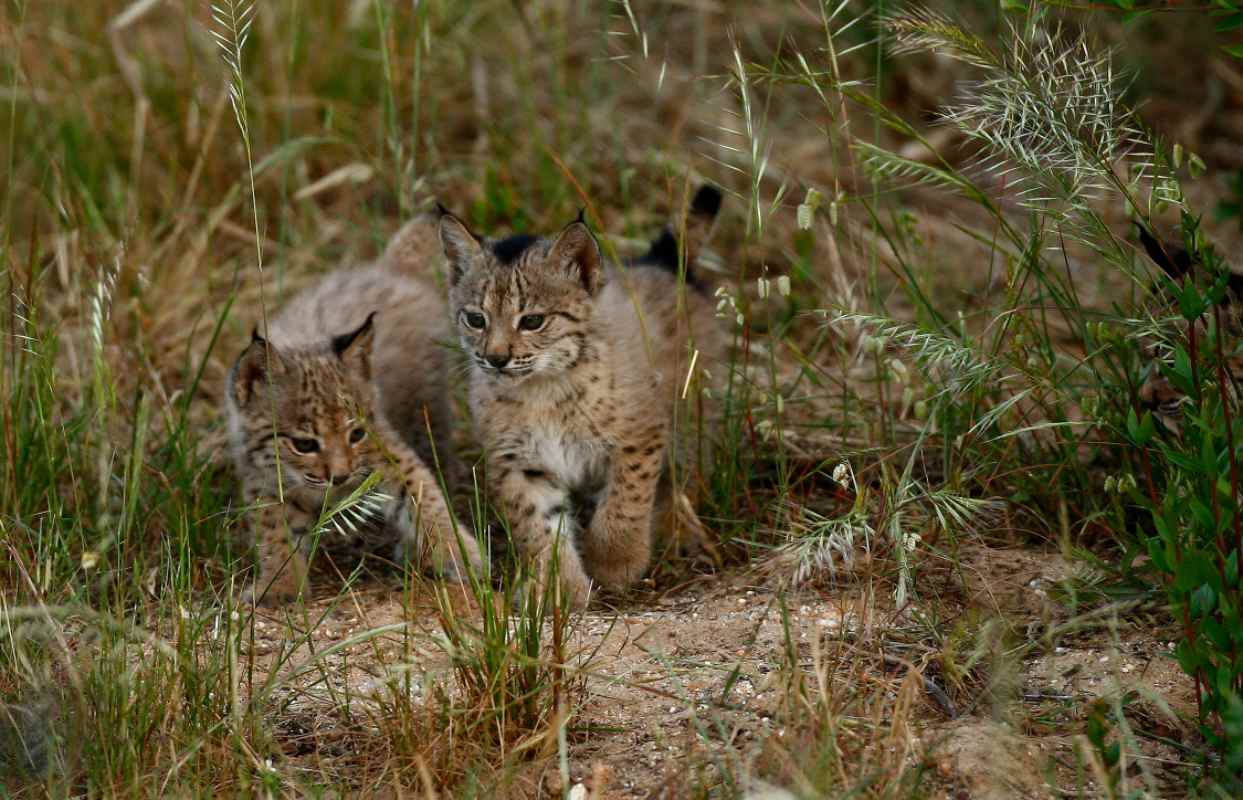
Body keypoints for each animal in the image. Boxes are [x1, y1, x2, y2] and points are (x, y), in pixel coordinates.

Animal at [226, 218, 482, 606]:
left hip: (425, 413)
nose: (341, 477)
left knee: (440, 465)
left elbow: (425, 497)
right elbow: (273, 530)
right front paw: (281, 585)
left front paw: (460, 553)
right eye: (304, 444)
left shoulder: (388, 452)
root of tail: (387, 270)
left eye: (357, 434)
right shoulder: (264, 480)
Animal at [440, 186, 725, 606]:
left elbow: (625, 502)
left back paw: (681, 533)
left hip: (692, 415)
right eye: (476, 319)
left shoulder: (639, 435)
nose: (495, 359)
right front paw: (558, 590)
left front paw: (616, 563)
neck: (542, 386)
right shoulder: (519, 461)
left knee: (681, 478)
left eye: (532, 321)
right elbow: (537, 526)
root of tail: (660, 264)